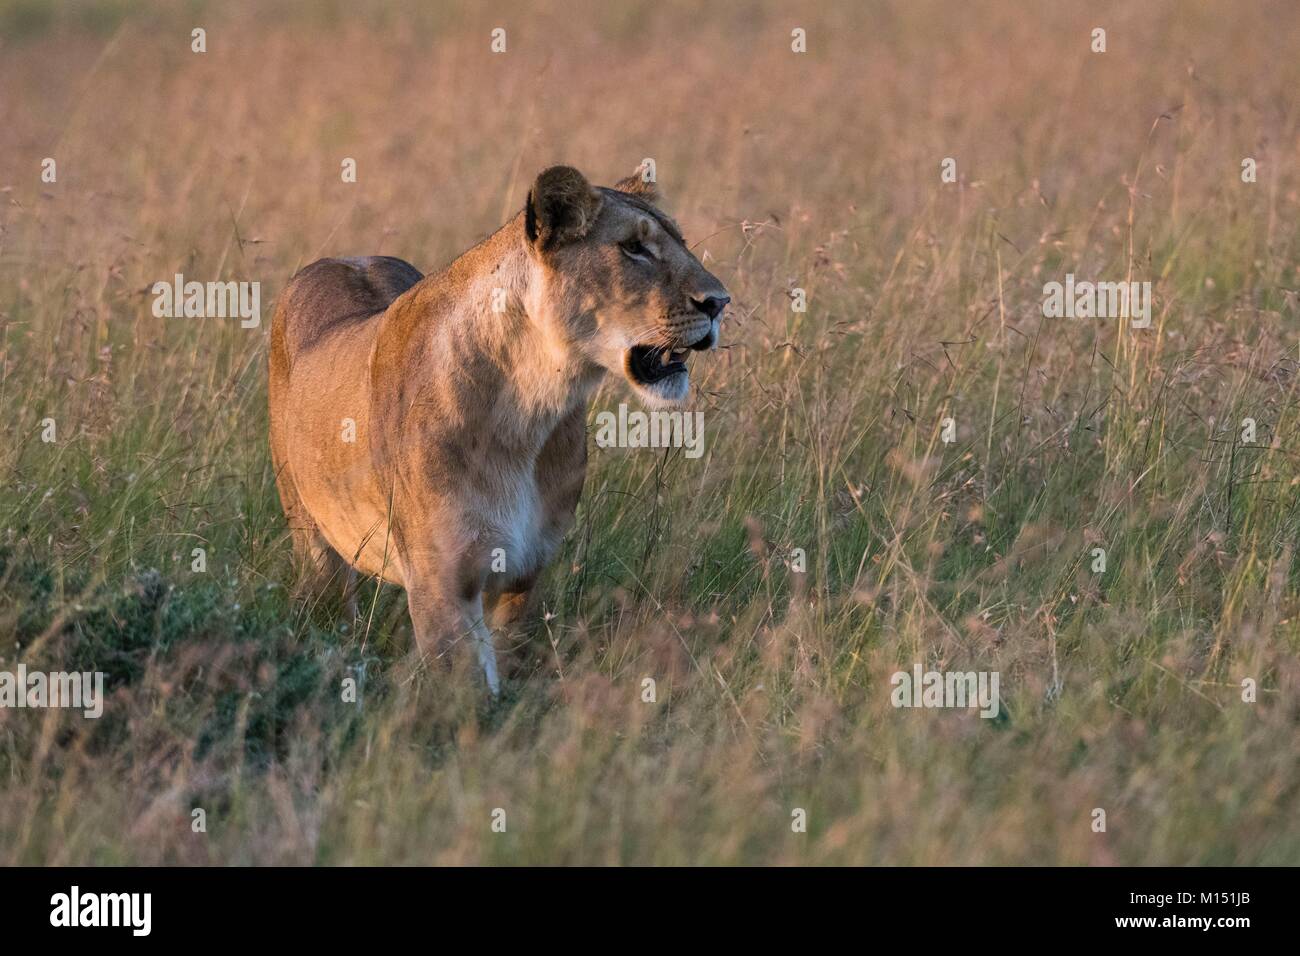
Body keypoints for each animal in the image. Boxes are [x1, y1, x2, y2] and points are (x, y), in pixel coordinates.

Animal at [268, 165, 730, 693]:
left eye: (681, 242)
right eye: (633, 247)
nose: (720, 302)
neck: (530, 409)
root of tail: (343, 258)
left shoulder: (525, 572)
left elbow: (508, 667)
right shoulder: (442, 583)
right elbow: (467, 693)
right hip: (311, 534)